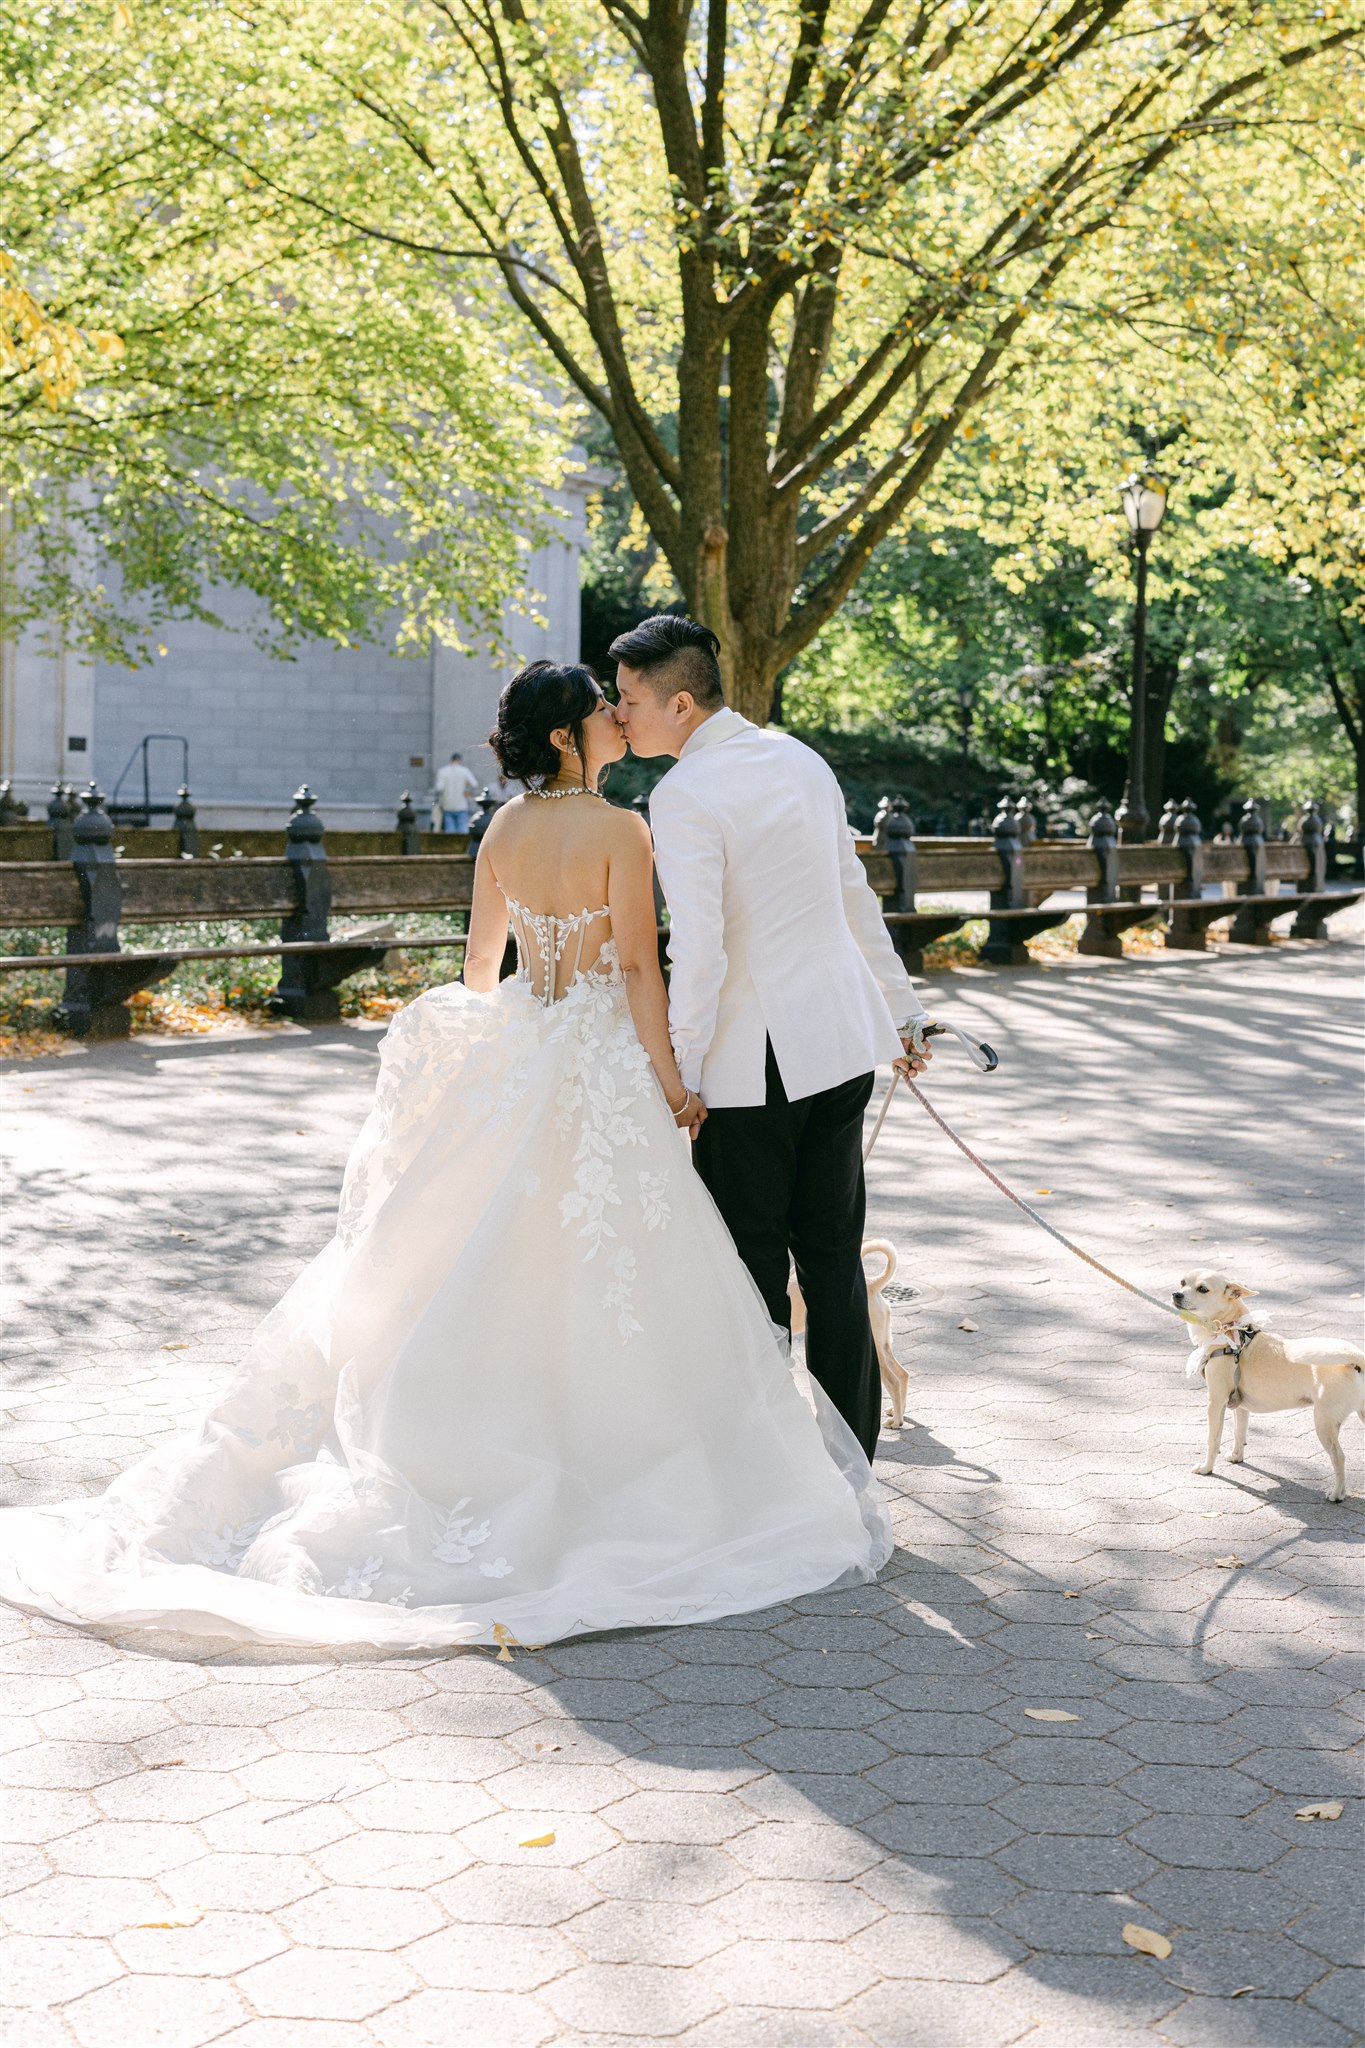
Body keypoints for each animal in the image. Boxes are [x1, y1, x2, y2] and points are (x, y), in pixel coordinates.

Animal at [789, 1236, 908, 1433]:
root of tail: (872, 1284)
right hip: (884, 1345)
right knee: (903, 1374)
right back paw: (898, 1412)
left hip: (876, 1351)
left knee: (893, 1381)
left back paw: (897, 1421)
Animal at [1178, 1261, 1365, 1507]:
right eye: (1182, 1283)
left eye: (1202, 1289)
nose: (1176, 1294)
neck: (1231, 1333)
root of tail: (1356, 1359)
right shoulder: (1239, 1407)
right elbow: (1239, 1433)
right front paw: (1237, 1457)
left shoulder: (1215, 1403)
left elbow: (1213, 1440)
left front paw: (1207, 1468)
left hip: (1324, 1423)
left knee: (1339, 1457)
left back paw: (1337, 1494)